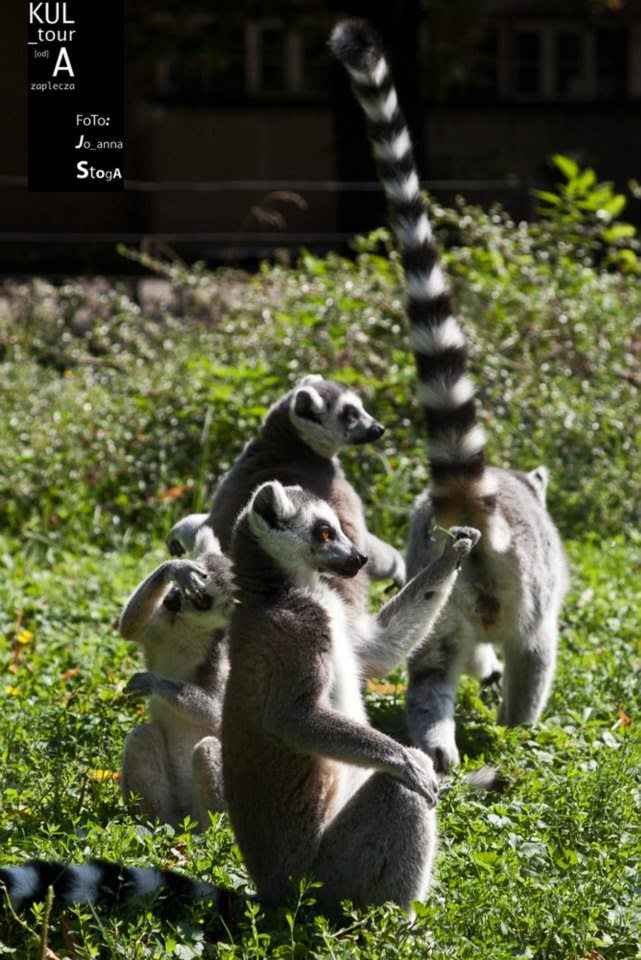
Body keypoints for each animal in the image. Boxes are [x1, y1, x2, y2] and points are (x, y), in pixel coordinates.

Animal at [119, 526, 233, 827]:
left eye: (202, 600)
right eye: (182, 587)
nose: (170, 600)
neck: (189, 633)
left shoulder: (223, 662)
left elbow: (217, 710)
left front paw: (154, 683)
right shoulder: (160, 628)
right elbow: (129, 627)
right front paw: (175, 568)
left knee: (207, 749)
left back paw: (208, 833)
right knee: (142, 736)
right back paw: (152, 826)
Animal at [166, 375, 406, 614]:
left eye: (360, 409)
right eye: (351, 414)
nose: (379, 428)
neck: (290, 445)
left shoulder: (231, 484)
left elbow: (207, 524)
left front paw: (180, 531)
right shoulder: (333, 485)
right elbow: (361, 537)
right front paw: (397, 566)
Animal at [222, 479, 480, 915]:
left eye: (339, 528)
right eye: (325, 533)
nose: (360, 559)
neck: (283, 587)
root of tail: (273, 890)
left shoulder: (336, 617)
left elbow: (380, 650)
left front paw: (454, 550)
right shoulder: (297, 631)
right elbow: (292, 717)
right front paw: (408, 761)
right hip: (326, 879)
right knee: (400, 793)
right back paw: (399, 920)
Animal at [330, 19, 570, 773]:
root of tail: (472, 506)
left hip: (444, 595)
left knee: (433, 666)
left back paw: (437, 746)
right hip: (526, 599)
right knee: (533, 651)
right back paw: (519, 731)